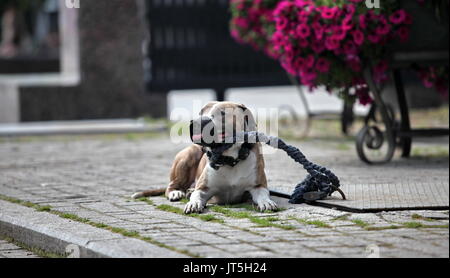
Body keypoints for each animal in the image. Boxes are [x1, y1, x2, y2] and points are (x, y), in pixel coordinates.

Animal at [131, 101, 278, 214]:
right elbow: (197, 195)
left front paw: (267, 202)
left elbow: (263, 194)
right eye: (200, 113)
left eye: (222, 113)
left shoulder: (258, 185)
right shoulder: (203, 188)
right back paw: (177, 193)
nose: (195, 122)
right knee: (171, 186)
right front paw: (193, 203)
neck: (230, 160)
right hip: (189, 154)